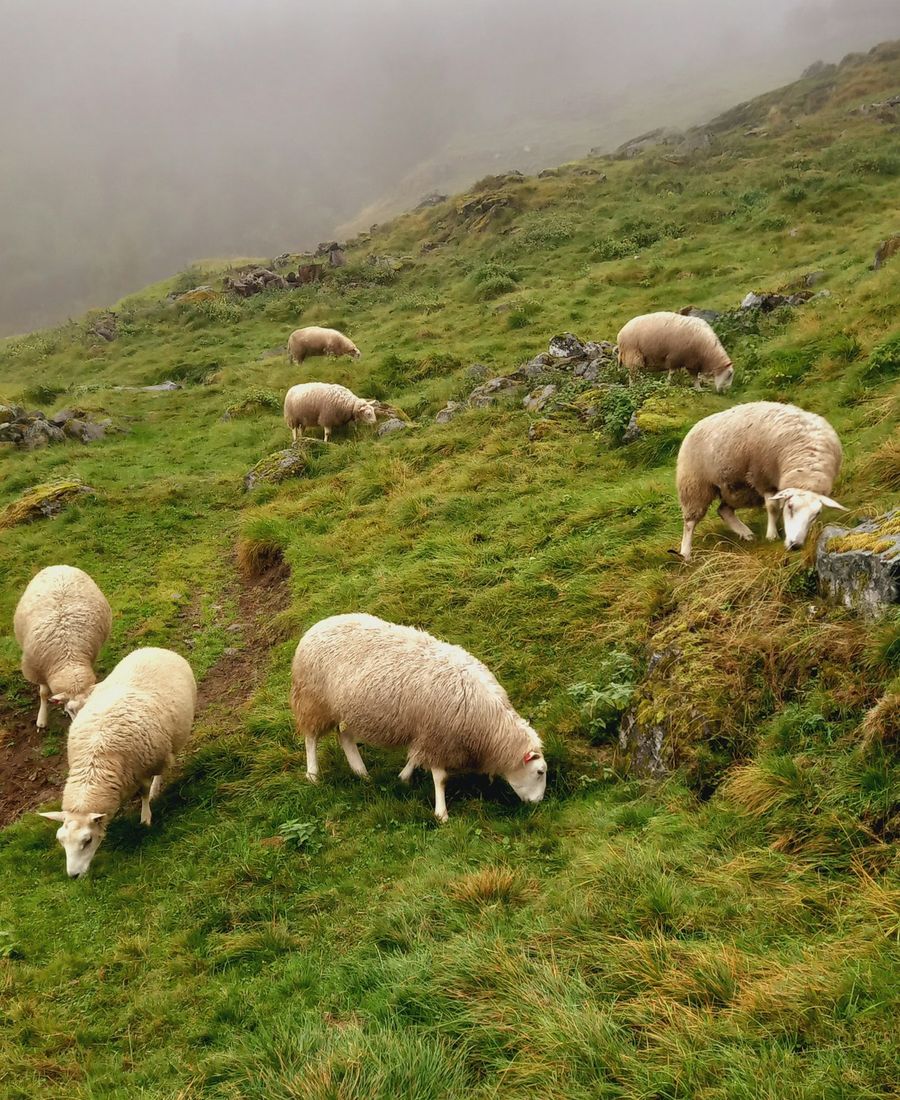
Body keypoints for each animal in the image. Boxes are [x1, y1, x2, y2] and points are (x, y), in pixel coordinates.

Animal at [13, 565, 112, 728]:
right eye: (70, 710)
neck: (68, 658)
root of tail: (59, 567)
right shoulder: (37, 670)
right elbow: (43, 694)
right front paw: (41, 719)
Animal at [38, 647, 197, 877]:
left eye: (87, 841)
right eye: (61, 840)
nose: (73, 875)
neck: (96, 763)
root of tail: (153, 649)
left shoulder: (143, 768)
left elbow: (144, 793)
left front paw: (145, 817)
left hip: (165, 746)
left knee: (162, 768)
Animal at [290, 613, 547, 822]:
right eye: (540, 772)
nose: (538, 804)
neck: (488, 724)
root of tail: (316, 626)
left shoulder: (426, 733)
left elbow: (415, 757)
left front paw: (404, 776)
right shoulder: (437, 736)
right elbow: (440, 778)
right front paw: (441, 813)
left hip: (349, 707)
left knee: (344, 737)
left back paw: (361, 772)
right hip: (313, 701)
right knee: (311, 738)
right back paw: (313, 774)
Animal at [675, 401, 846, 561]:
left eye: (817, 513)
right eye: (790, 507)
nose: (795, 545)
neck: (808, 463)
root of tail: (697, 424)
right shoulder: (763, 478)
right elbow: (772, 507)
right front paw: (772, 535)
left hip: (737, 488)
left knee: (724, 510)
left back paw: (746, 534)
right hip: (695, 485)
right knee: (690, 522)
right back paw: (686, 553)